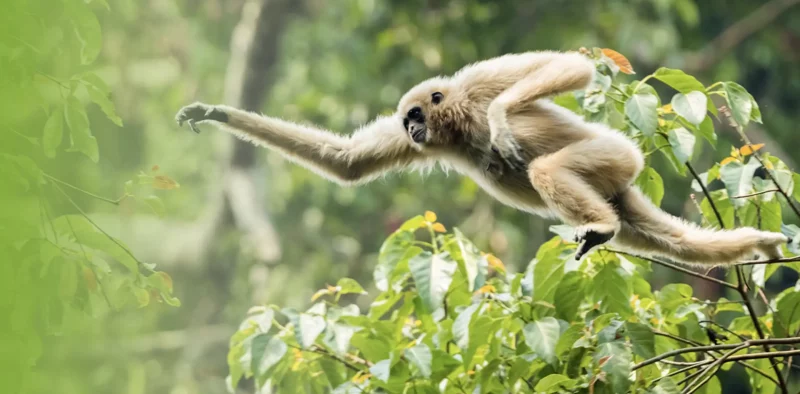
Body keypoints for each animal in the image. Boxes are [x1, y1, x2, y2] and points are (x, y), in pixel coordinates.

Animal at [177, 49, 788, 264]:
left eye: (415, 114)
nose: (412, 128)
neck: (457, 119)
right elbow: (346, 161)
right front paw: (216, 113)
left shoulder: (475, 85)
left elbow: (572, 65)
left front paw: (499, 120)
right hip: (621, 183)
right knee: (670, 241)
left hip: (616, 153)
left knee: (547, 168)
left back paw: (596, 225)